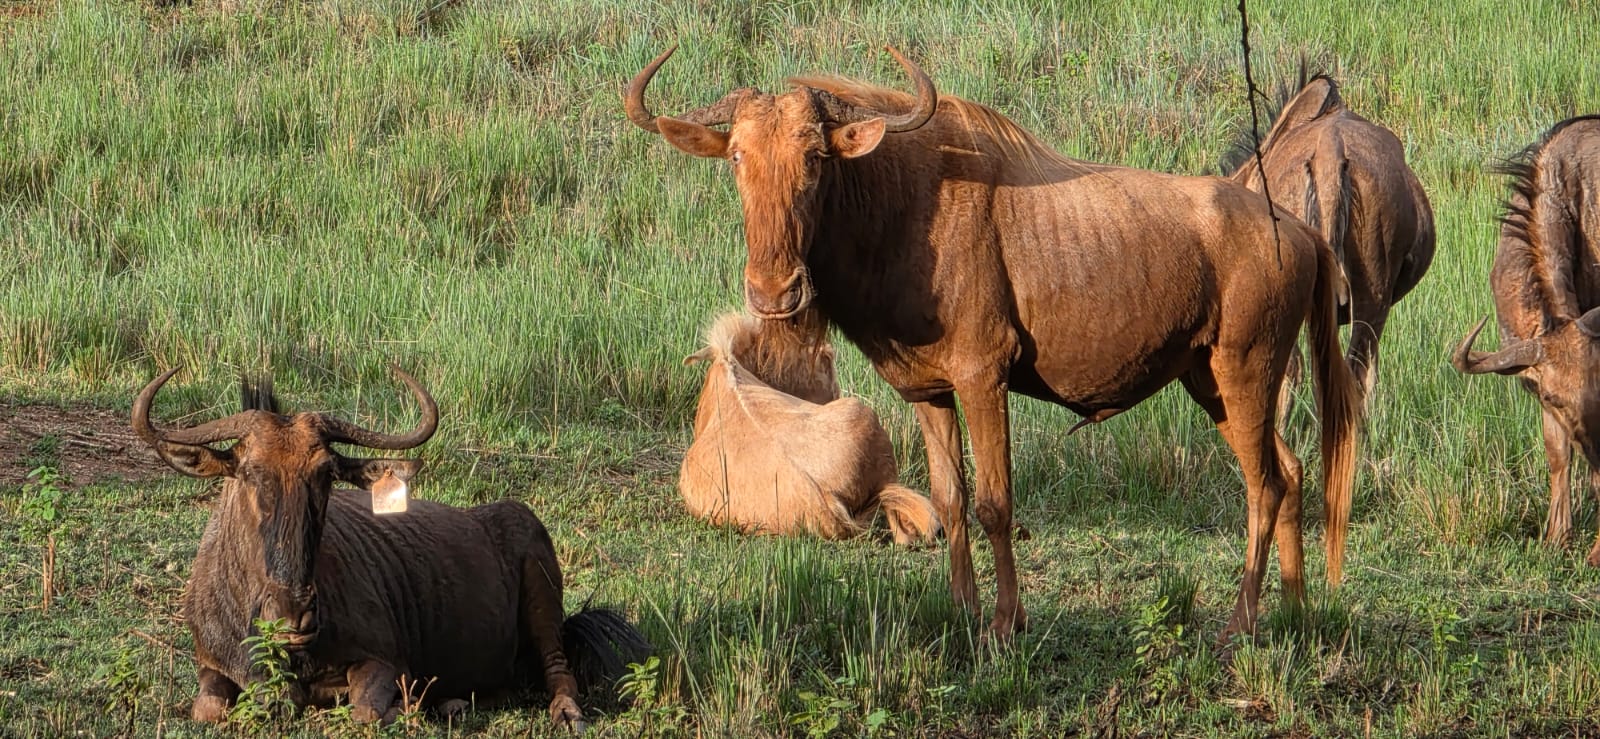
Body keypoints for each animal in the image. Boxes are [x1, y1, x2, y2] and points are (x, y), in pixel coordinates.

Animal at [132, 366, 649, 729]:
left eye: (325, 474)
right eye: (250, 472)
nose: (293, 615)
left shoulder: (384, 663)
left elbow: (366, 711)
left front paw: (404, 709)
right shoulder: (211, 665)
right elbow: (210, 709)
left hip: (541, 592)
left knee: (559, 672)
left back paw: (561, 713)